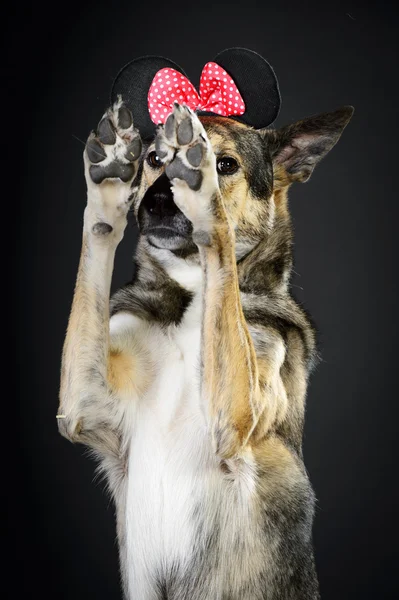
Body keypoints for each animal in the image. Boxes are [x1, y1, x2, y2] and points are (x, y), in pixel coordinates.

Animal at [57, 49, 354, 596]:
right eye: (153, 161)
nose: (155, 202)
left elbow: (225, 278)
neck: (195, 294)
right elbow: (97, 248)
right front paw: (109, 182)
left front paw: (204, 197)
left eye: (226, 164)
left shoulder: (236, 416)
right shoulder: (83, 407)